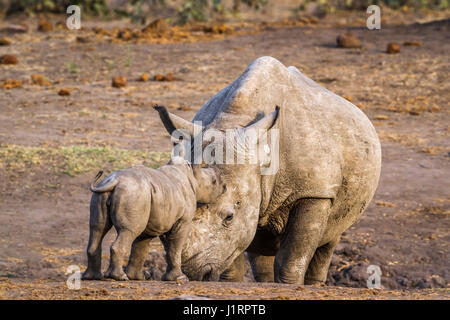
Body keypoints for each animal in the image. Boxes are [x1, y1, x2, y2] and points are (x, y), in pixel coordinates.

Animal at [82, 162, 221, 282]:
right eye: (214, 181)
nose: (223, 187)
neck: (192, 176)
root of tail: (114, 181)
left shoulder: (161, 219)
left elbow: (143, 247)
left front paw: (138, 277)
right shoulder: (183, 221)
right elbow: (175, 248)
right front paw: (181, 278)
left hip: (115, 194)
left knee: (97, 228)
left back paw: (92, 277)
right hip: (134, 193)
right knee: (128, 231)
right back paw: (119, 277)